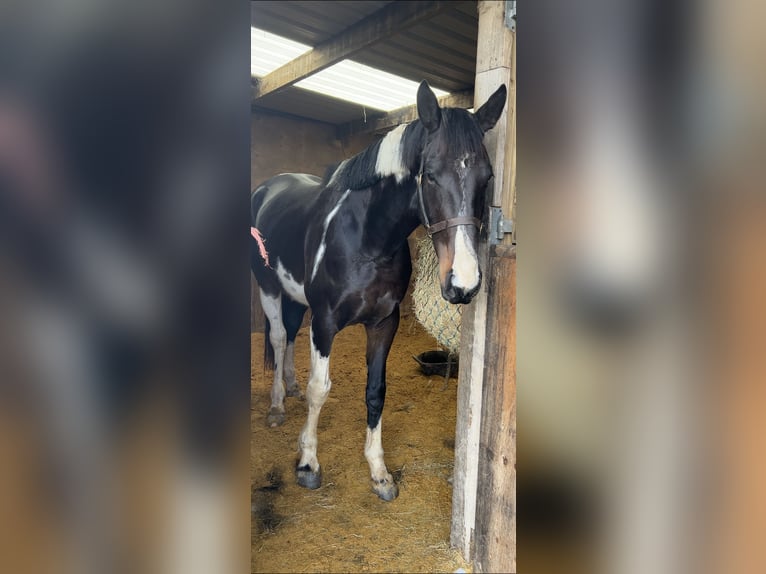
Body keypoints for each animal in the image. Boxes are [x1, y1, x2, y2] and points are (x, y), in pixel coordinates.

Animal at [251, 80, 506, 501]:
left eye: (486, 176)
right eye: (430, 174)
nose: (464, 282)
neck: (367, 240)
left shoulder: (384, 323)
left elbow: (376, 391)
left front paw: (379, 472)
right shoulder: (324, 322)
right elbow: (319, 389)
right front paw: (308, 464)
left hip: (295, 297)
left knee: (288, 336)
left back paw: (287, 388)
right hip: (268, 287)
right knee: (276, 337)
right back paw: (276, 407)